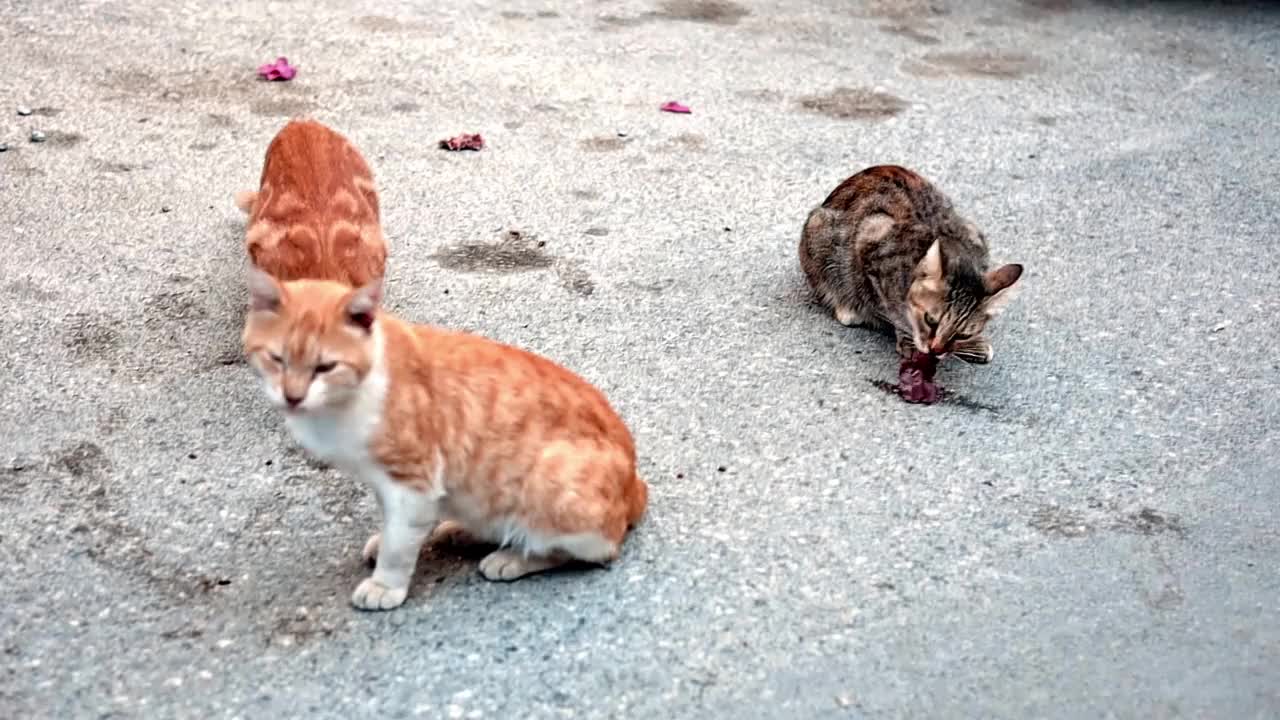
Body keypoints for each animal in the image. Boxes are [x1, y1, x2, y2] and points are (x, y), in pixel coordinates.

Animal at [798, 165, 1018, 361]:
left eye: (963, 334)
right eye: (930, 320)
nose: (936, 350)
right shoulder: (871, 233)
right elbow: (891, 309)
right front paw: (908, 338)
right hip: (819, 231)